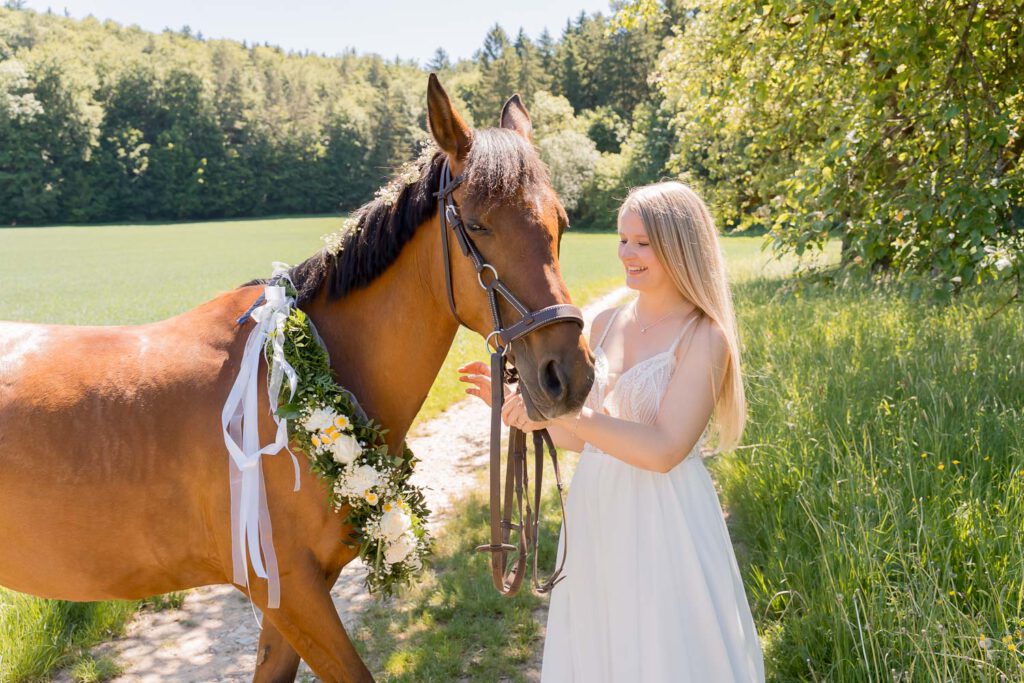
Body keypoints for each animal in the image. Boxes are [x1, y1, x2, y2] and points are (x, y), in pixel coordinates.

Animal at [0, 75, 594, 682]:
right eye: (476, 225)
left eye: (561, 224)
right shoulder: (288, 590)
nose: (567, 375)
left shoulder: (294, 597)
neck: (297, 379)